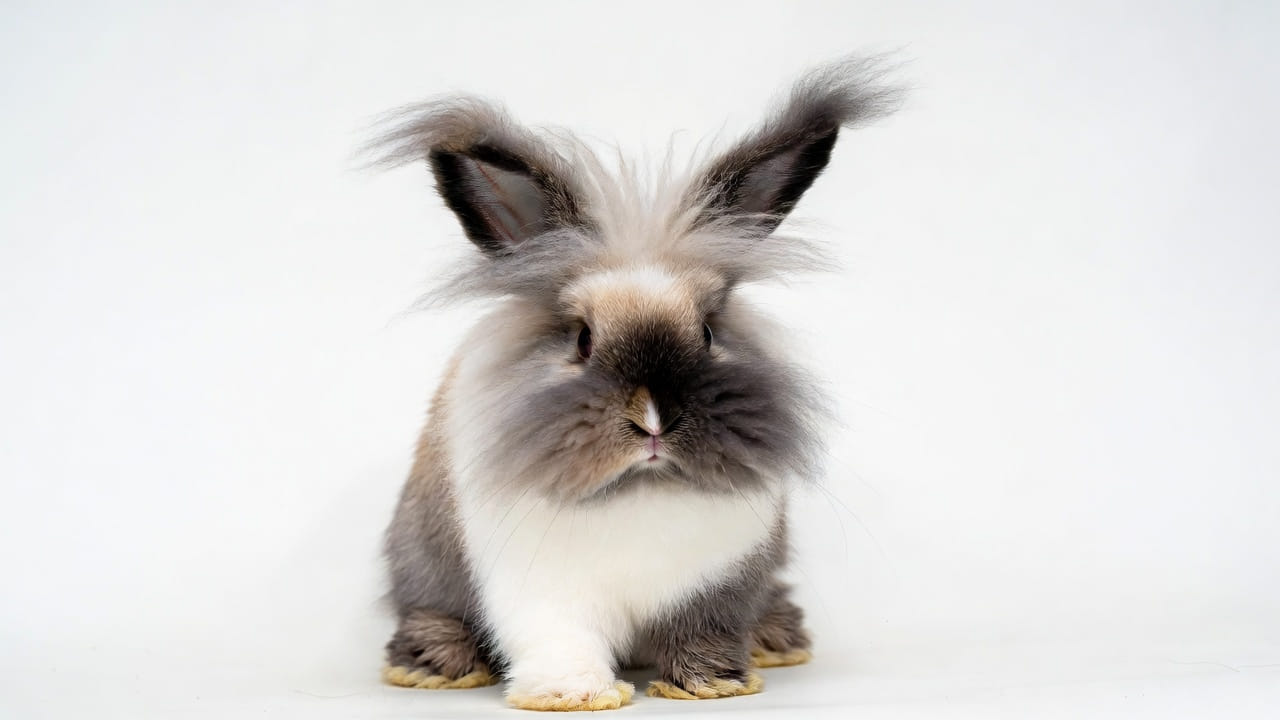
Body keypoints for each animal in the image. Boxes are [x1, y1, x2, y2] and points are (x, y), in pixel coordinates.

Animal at [370, 56, 900, 711]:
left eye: (708, 330)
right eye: (581, 339)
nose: (652, 420)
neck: (639, 492)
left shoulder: (714, 587)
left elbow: (703, 632)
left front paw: (711, 685)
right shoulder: (542, 593)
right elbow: (561, 641)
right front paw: (573, 696)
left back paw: (778, 642)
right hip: (420, 562)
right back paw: (436, 666)